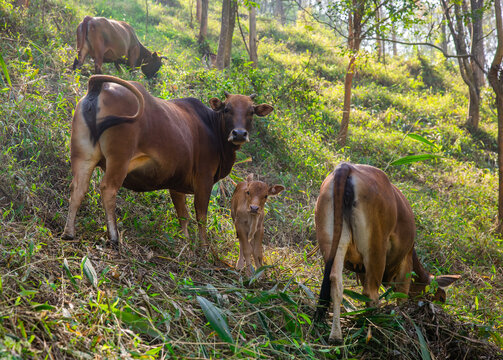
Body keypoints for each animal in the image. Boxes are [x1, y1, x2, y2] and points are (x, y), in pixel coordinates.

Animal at [64, 75, 276, 248]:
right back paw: (114, 236)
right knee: (108, 189)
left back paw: (69, 232)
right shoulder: (204, 180)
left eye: (251, 111)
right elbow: (201, 216)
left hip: (83, 156)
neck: (212, 127)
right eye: (227, 109)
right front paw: (204, 247)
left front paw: (186, 243)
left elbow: (183, 216)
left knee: (78, 188)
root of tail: (98, 86)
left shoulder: (176, 184)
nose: (239, 133)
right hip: (119, 160)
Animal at [316, 163, 460, 344]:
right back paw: (375, 328)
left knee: (336, 282)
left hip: (332, 241)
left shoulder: (362, 268)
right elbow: (401, 297)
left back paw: (336, 335)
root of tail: (347, 167)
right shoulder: (406, 261)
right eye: (441, 298)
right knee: (370, 293)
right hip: (376, 249)